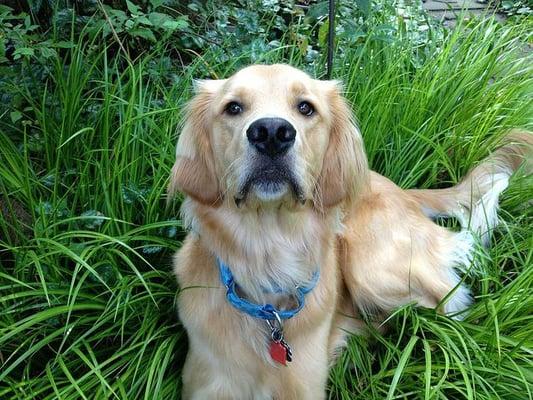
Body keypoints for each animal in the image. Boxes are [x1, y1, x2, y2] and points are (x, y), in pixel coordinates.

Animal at [168, 64, 528, 398]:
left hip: (370, 267)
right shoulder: (205, 384)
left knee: (454, 302)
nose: (271, 132)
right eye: (233, 107)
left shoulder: (306, 387)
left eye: (305, 107)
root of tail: (401, 190)